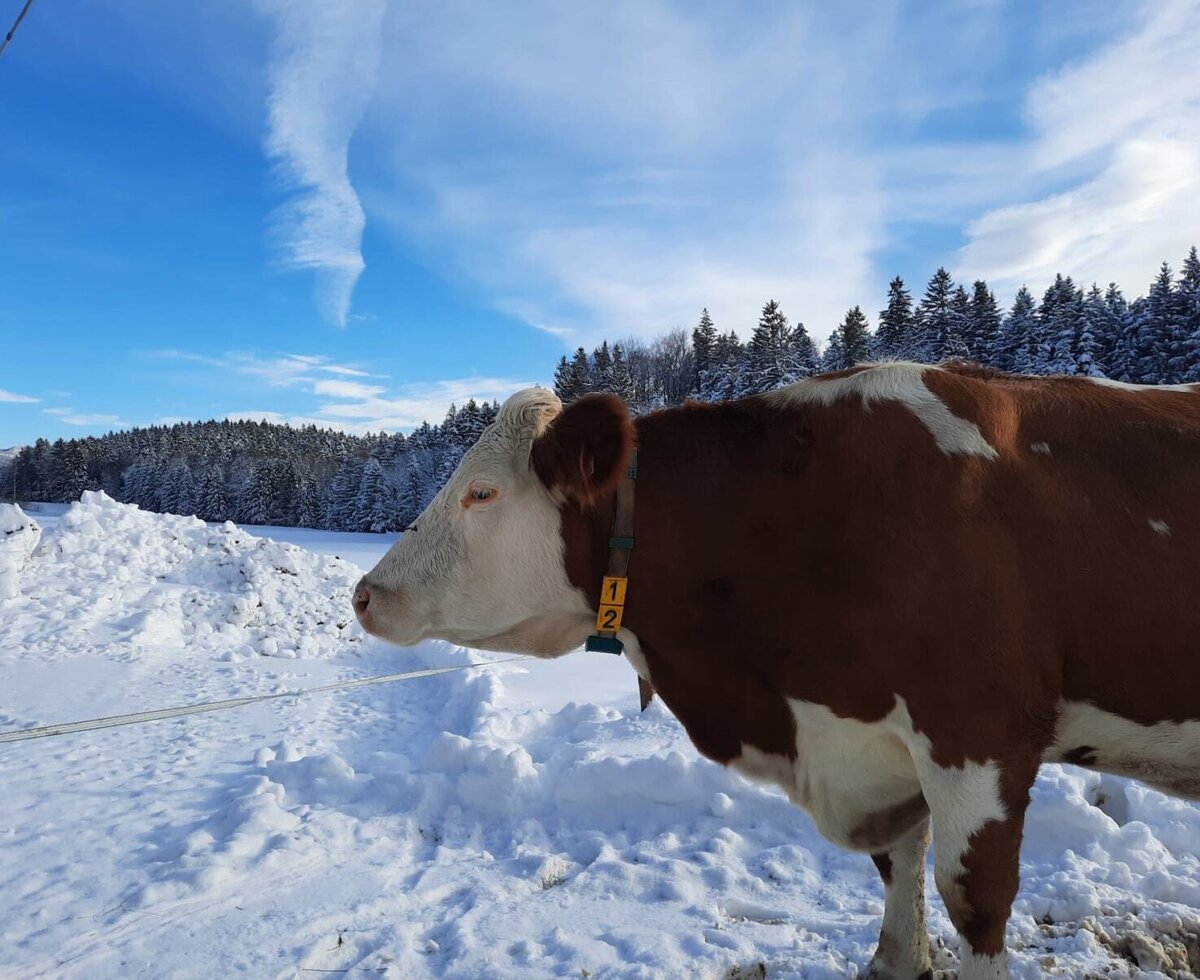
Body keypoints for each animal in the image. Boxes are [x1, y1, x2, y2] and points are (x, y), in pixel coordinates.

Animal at [352, 361, 1200, 980]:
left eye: (481, 492)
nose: (366, 594)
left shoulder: (979, 731)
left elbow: (976, 902)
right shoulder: (881, 745)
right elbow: (901, 862)